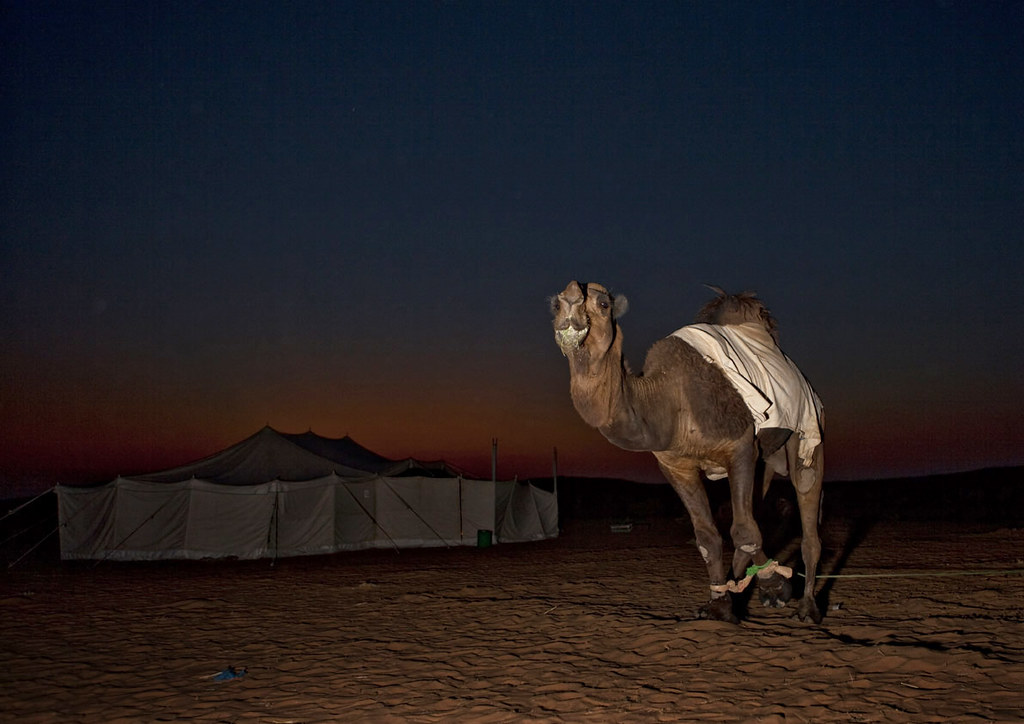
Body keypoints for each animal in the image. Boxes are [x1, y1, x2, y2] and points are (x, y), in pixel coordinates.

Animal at [550, 281, 825, 623]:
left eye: (603, 303)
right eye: (554, 305)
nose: (571, 302)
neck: (669, 402)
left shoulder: (739, 447)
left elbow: (743, 532)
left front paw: (763, 590)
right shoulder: (675, 465)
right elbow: (708, 537)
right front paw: (722, 604)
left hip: (808, 432)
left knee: (806, 513)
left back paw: (808, 608)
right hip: (765, 458)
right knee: (758, 510)